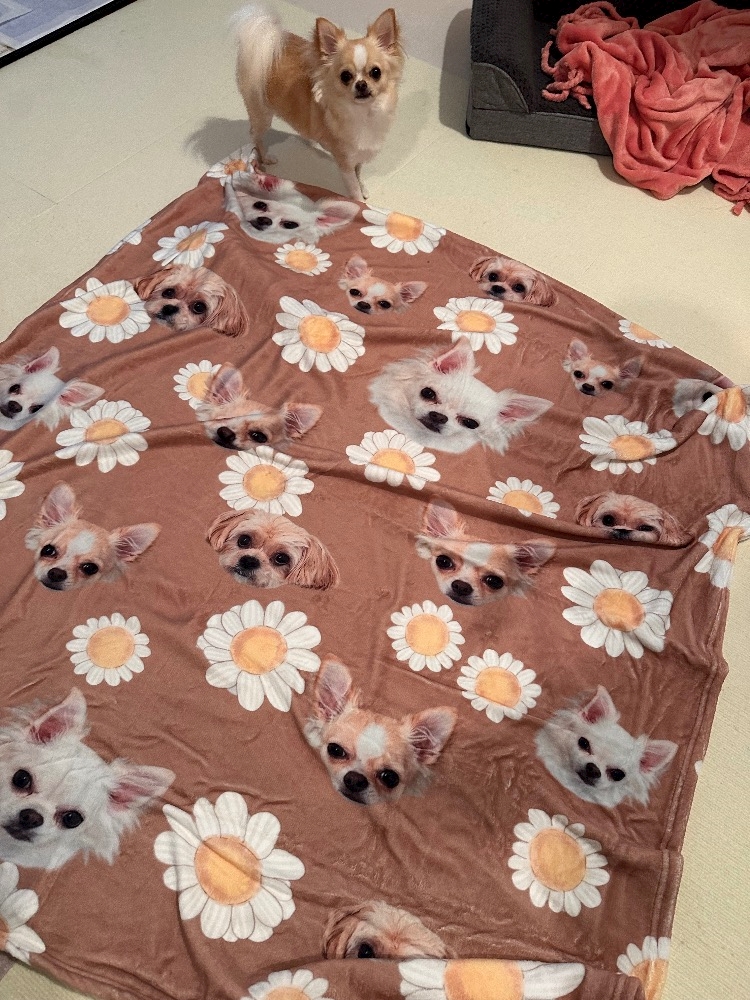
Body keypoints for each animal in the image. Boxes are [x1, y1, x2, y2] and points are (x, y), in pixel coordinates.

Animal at [233, 5, 403, 201]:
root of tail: (267, 42)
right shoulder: (344, 161)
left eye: (376, 72)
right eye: (345, 76)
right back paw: (265, 158)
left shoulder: (358, 153)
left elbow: (358, 173)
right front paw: (360, 202)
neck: (364, 113)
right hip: (262, 114)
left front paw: (363, 187)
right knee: (256, 136)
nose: (361, 84)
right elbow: (353, 186)